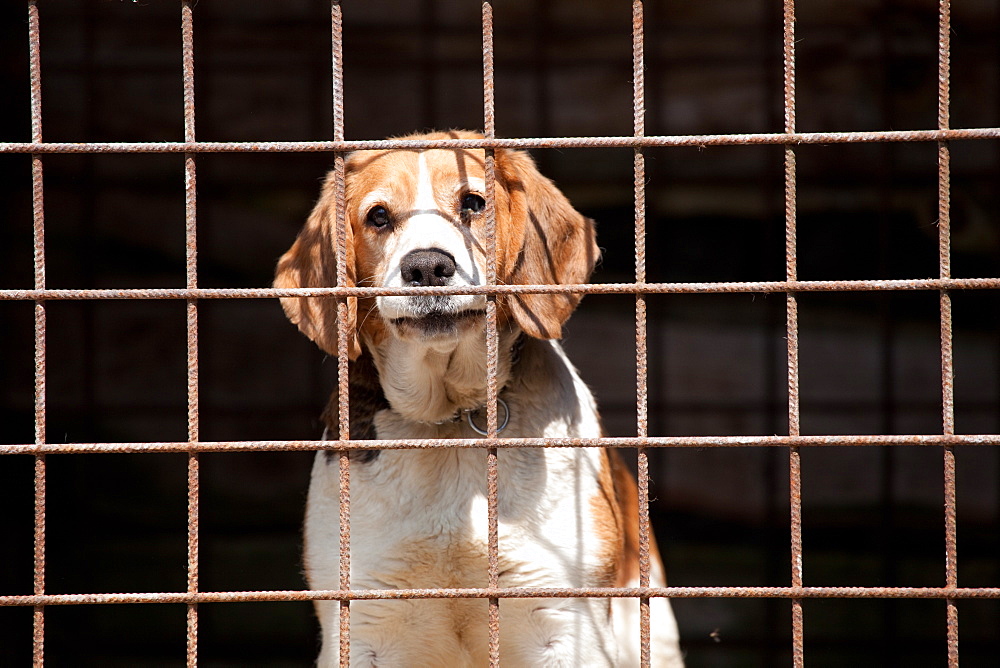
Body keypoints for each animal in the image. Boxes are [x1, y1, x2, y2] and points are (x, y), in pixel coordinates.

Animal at [276, 132, 680, 668]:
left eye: (473, 203)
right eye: (379, 216)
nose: (427, 266)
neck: (450, 424)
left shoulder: (566, 623)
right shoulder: (362, 627)